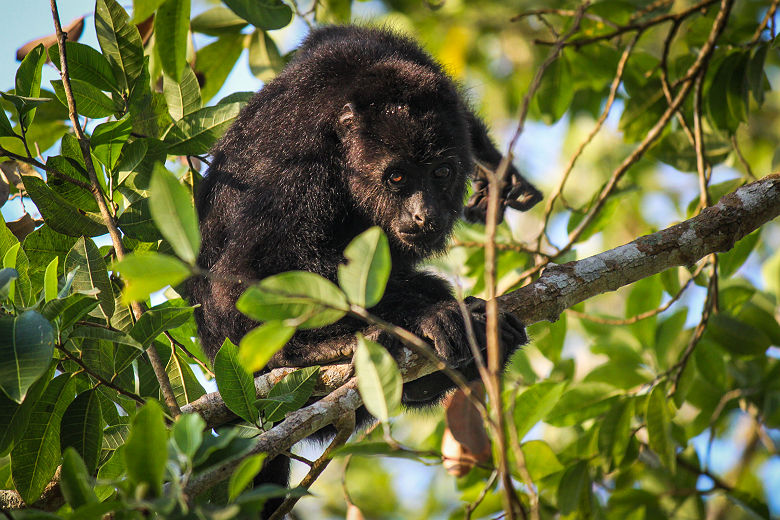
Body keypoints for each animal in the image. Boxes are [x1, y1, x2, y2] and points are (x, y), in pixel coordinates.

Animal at [190, 23, 544, 516]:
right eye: (397, 177)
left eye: (441, 172)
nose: (423, 215)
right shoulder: (298, 171)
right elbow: (247, 275)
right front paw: (429, 316)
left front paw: (494, 166)